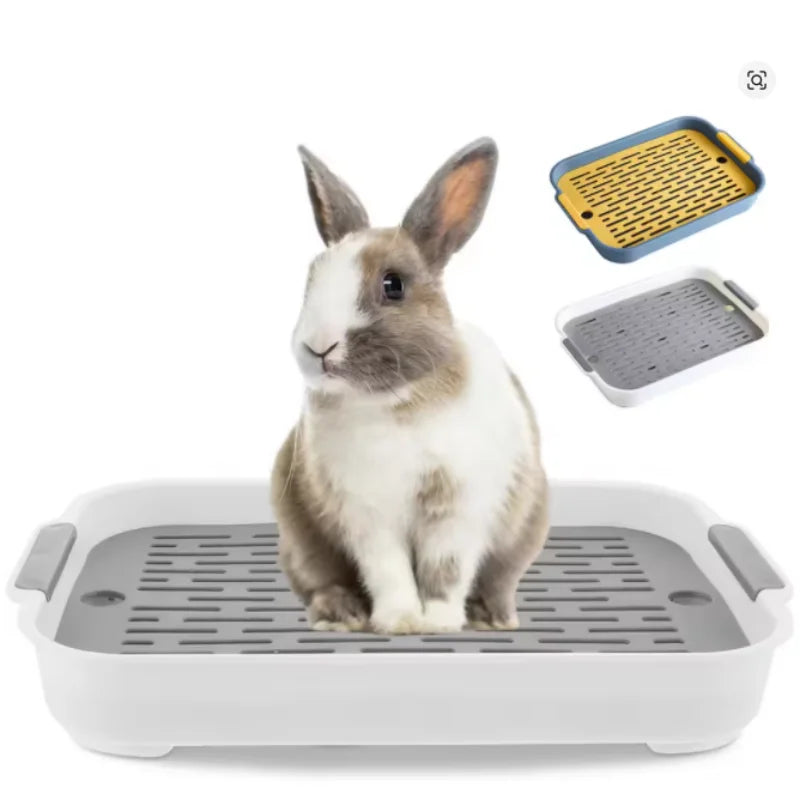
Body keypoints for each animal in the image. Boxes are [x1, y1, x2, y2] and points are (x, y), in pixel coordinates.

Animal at [271, 137, 548, 635]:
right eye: (311, 279)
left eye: (393, 285)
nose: (318, 347)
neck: (394, 402)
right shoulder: (368, 514)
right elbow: (389, 570)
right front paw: (399, 621)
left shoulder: (458, 508)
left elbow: (445, 570)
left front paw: (437, 622)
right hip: (300, 542)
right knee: (320, 581)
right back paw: (342, 615)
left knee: (500, 579)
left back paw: (493, 618)